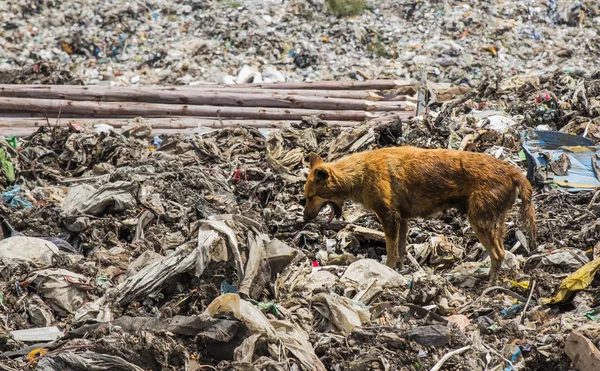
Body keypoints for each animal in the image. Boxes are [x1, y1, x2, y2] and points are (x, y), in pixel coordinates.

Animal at [302, 147, 536, 284]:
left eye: (310, 197)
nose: (304, 219)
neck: (359, 173)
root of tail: (514, 172)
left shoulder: (388, 217)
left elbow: (390, 251)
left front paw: (387, 270)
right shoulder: (403, 218)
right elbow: (401, 249)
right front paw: (400, 270)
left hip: (479, 221)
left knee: (498, 254)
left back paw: (489, 286)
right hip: (495, 221)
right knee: (502, 252)